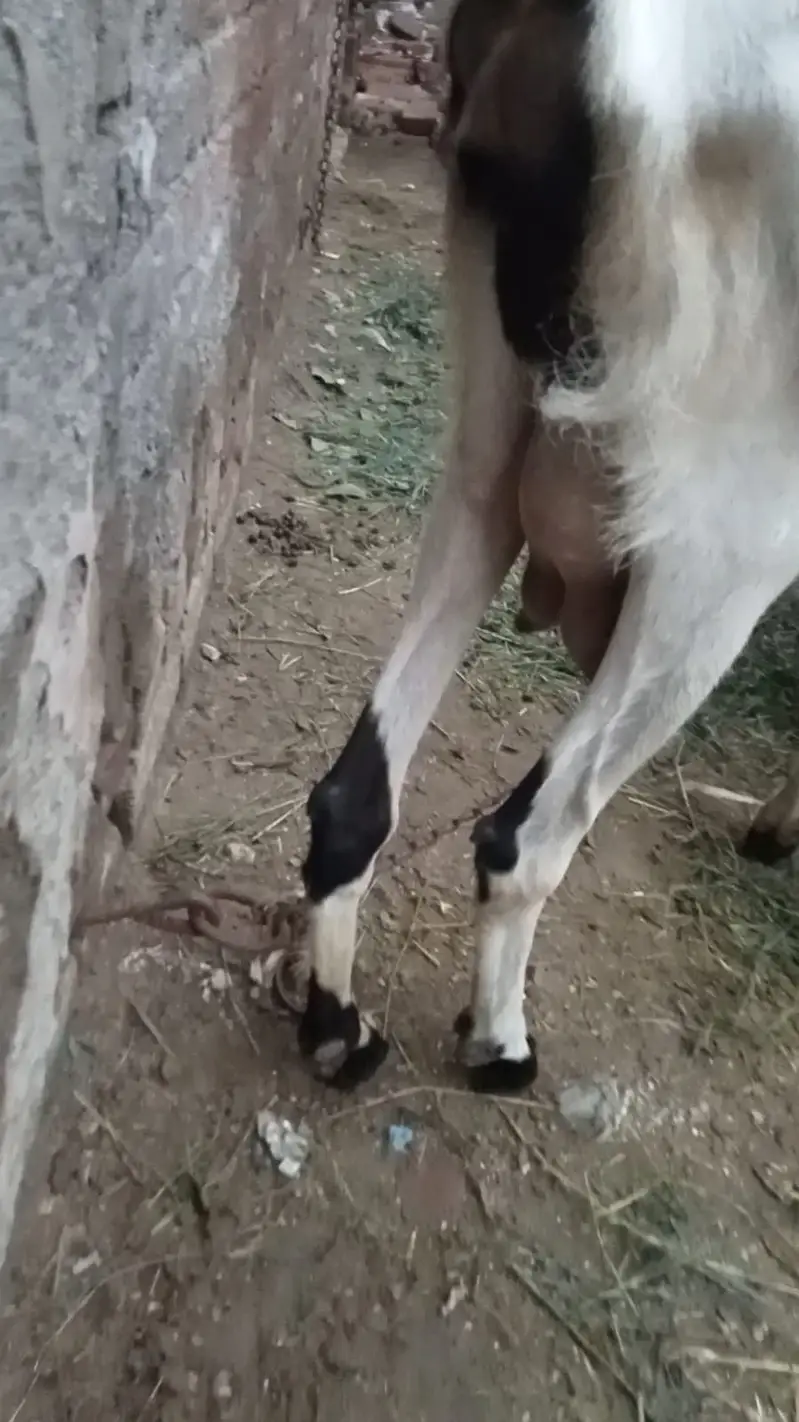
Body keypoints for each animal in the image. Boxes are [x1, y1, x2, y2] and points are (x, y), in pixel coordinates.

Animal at [296, 0, 799, 1092]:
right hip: (719, 543)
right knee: (524, 839)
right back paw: (498, 1046)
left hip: (489, 436)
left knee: (355, 794)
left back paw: (336, 1026)